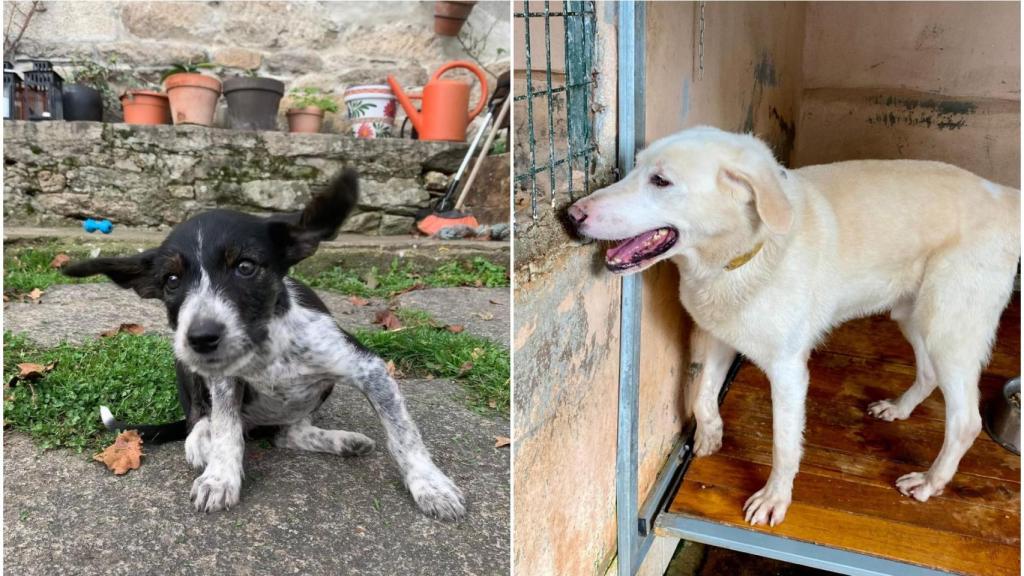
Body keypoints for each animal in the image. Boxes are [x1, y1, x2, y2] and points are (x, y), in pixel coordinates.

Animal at [62, 169, 464, 516]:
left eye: (245, 267)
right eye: (171, 281)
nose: (201, 338)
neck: (267, 352)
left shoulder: (369, 368)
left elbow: (404, 434)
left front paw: (430, 486)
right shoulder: (223, 379)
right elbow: (226, 430)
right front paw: (220, 478)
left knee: (290, 434)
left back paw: (342, 441)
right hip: (186, 368)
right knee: (198, 419)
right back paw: (200, 441)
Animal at [573, 125, 1019, 524]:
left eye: (661, 181)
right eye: (633, 169)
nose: (572, 214)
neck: (740, 258)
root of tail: (1004, 195)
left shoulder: (788, 370)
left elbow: (784, 445)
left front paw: (774, 499)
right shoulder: (719, 336)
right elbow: (702, 395)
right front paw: (710, 434)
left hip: (949, 328)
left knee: (966, 421)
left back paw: (930, 482)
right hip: (913, 317)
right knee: (928, 374)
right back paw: (898, 408)